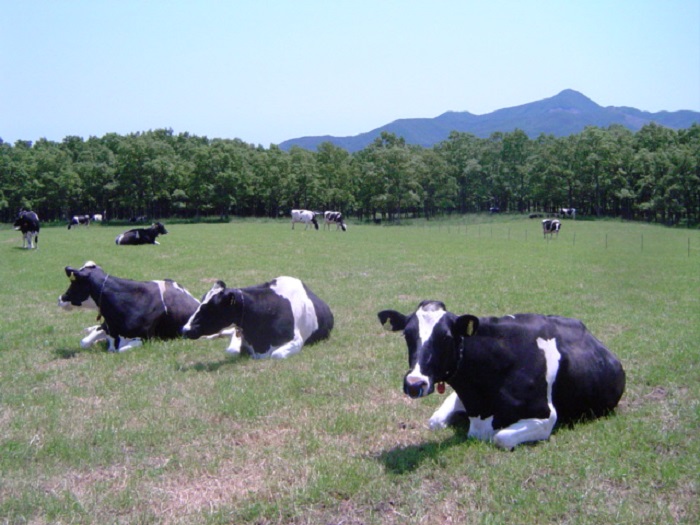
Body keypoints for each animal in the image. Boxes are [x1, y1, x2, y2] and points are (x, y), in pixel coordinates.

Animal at [57, 258, 201, 350]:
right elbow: (84, 341)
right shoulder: (106, 327)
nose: (60, 299)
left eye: (73, 282)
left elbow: (120, 349)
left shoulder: (146, 338)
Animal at [380, 300, 628, 448]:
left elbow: (501, 438)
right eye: (407, 335)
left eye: (446, 337)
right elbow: (435, 421)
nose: (415, 383)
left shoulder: (546, 416)